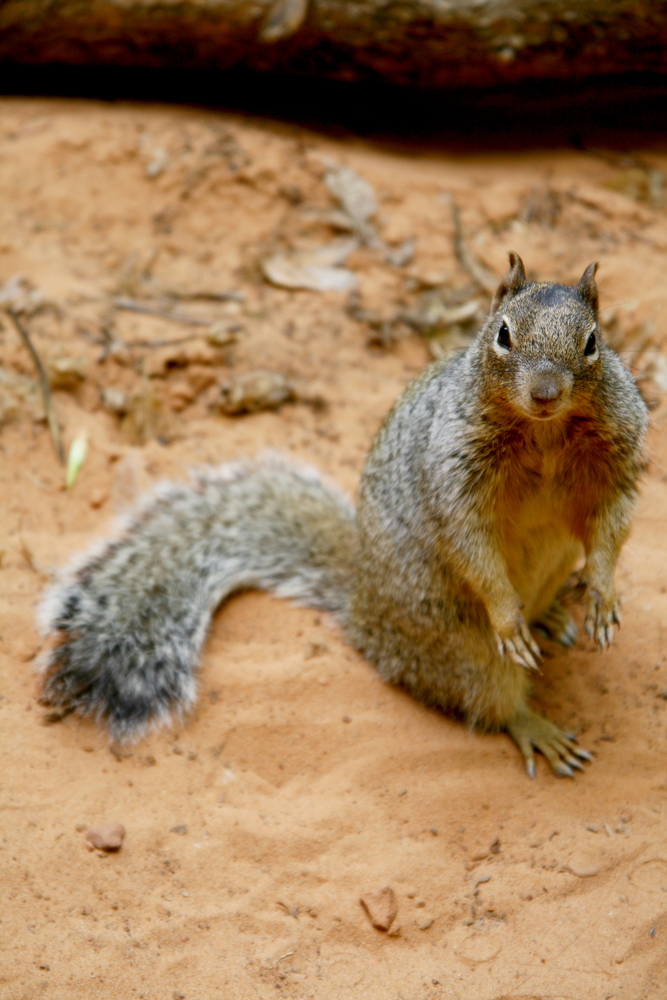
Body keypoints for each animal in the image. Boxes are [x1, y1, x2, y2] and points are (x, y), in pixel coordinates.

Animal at [36, 254, 648, 776]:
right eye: (502, 333)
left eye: (593, 342)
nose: (545, 393)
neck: (544, 431)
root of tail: (363, 607)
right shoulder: (452, 476)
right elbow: (469, 542)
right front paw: (508, 616)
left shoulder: (619, 464)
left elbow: (612, 526)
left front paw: (602, 594)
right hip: (462, 652)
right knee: (492, 699)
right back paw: (535, 722)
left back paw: (552, 613)